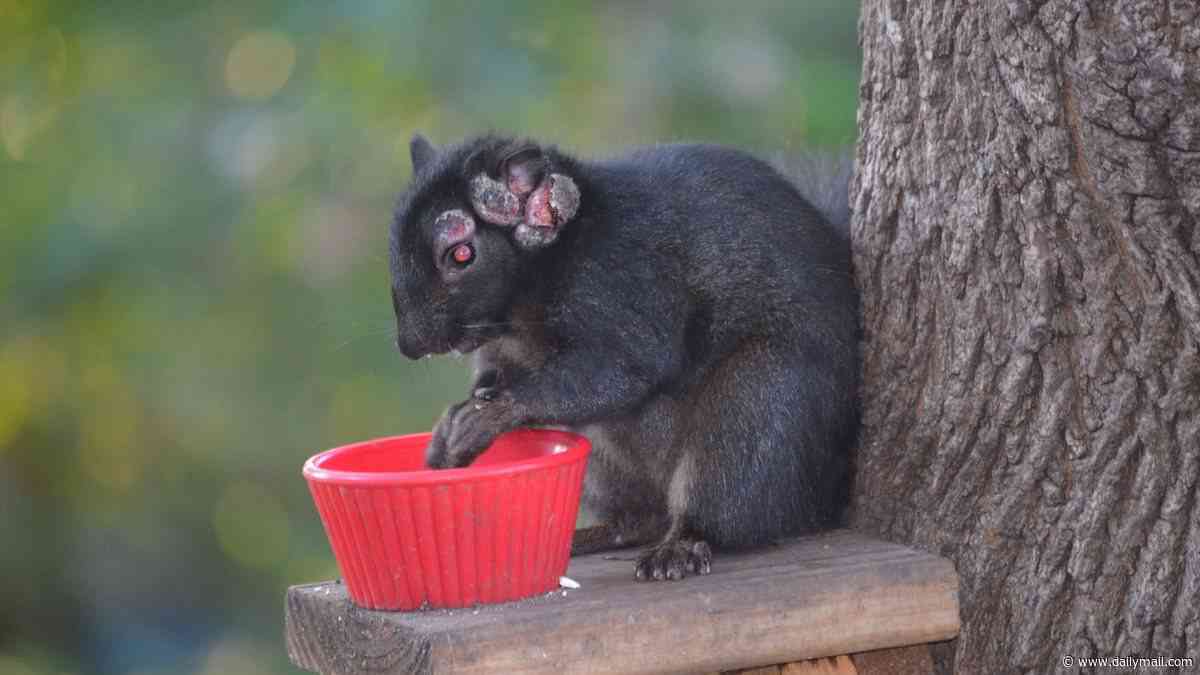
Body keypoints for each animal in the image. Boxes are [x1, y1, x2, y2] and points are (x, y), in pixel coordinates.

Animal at [389, 133, 860, 581]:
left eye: (461, 254)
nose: (410, 345)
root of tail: (823, 498)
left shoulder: (623, 277)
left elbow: (623, 368)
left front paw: (489, 417)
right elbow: (494, 374)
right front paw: (452, 420)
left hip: (757, 406)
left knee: (723, 501)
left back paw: (680, 546)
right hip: (608, 474)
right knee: (640, 520)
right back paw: (595, 535)